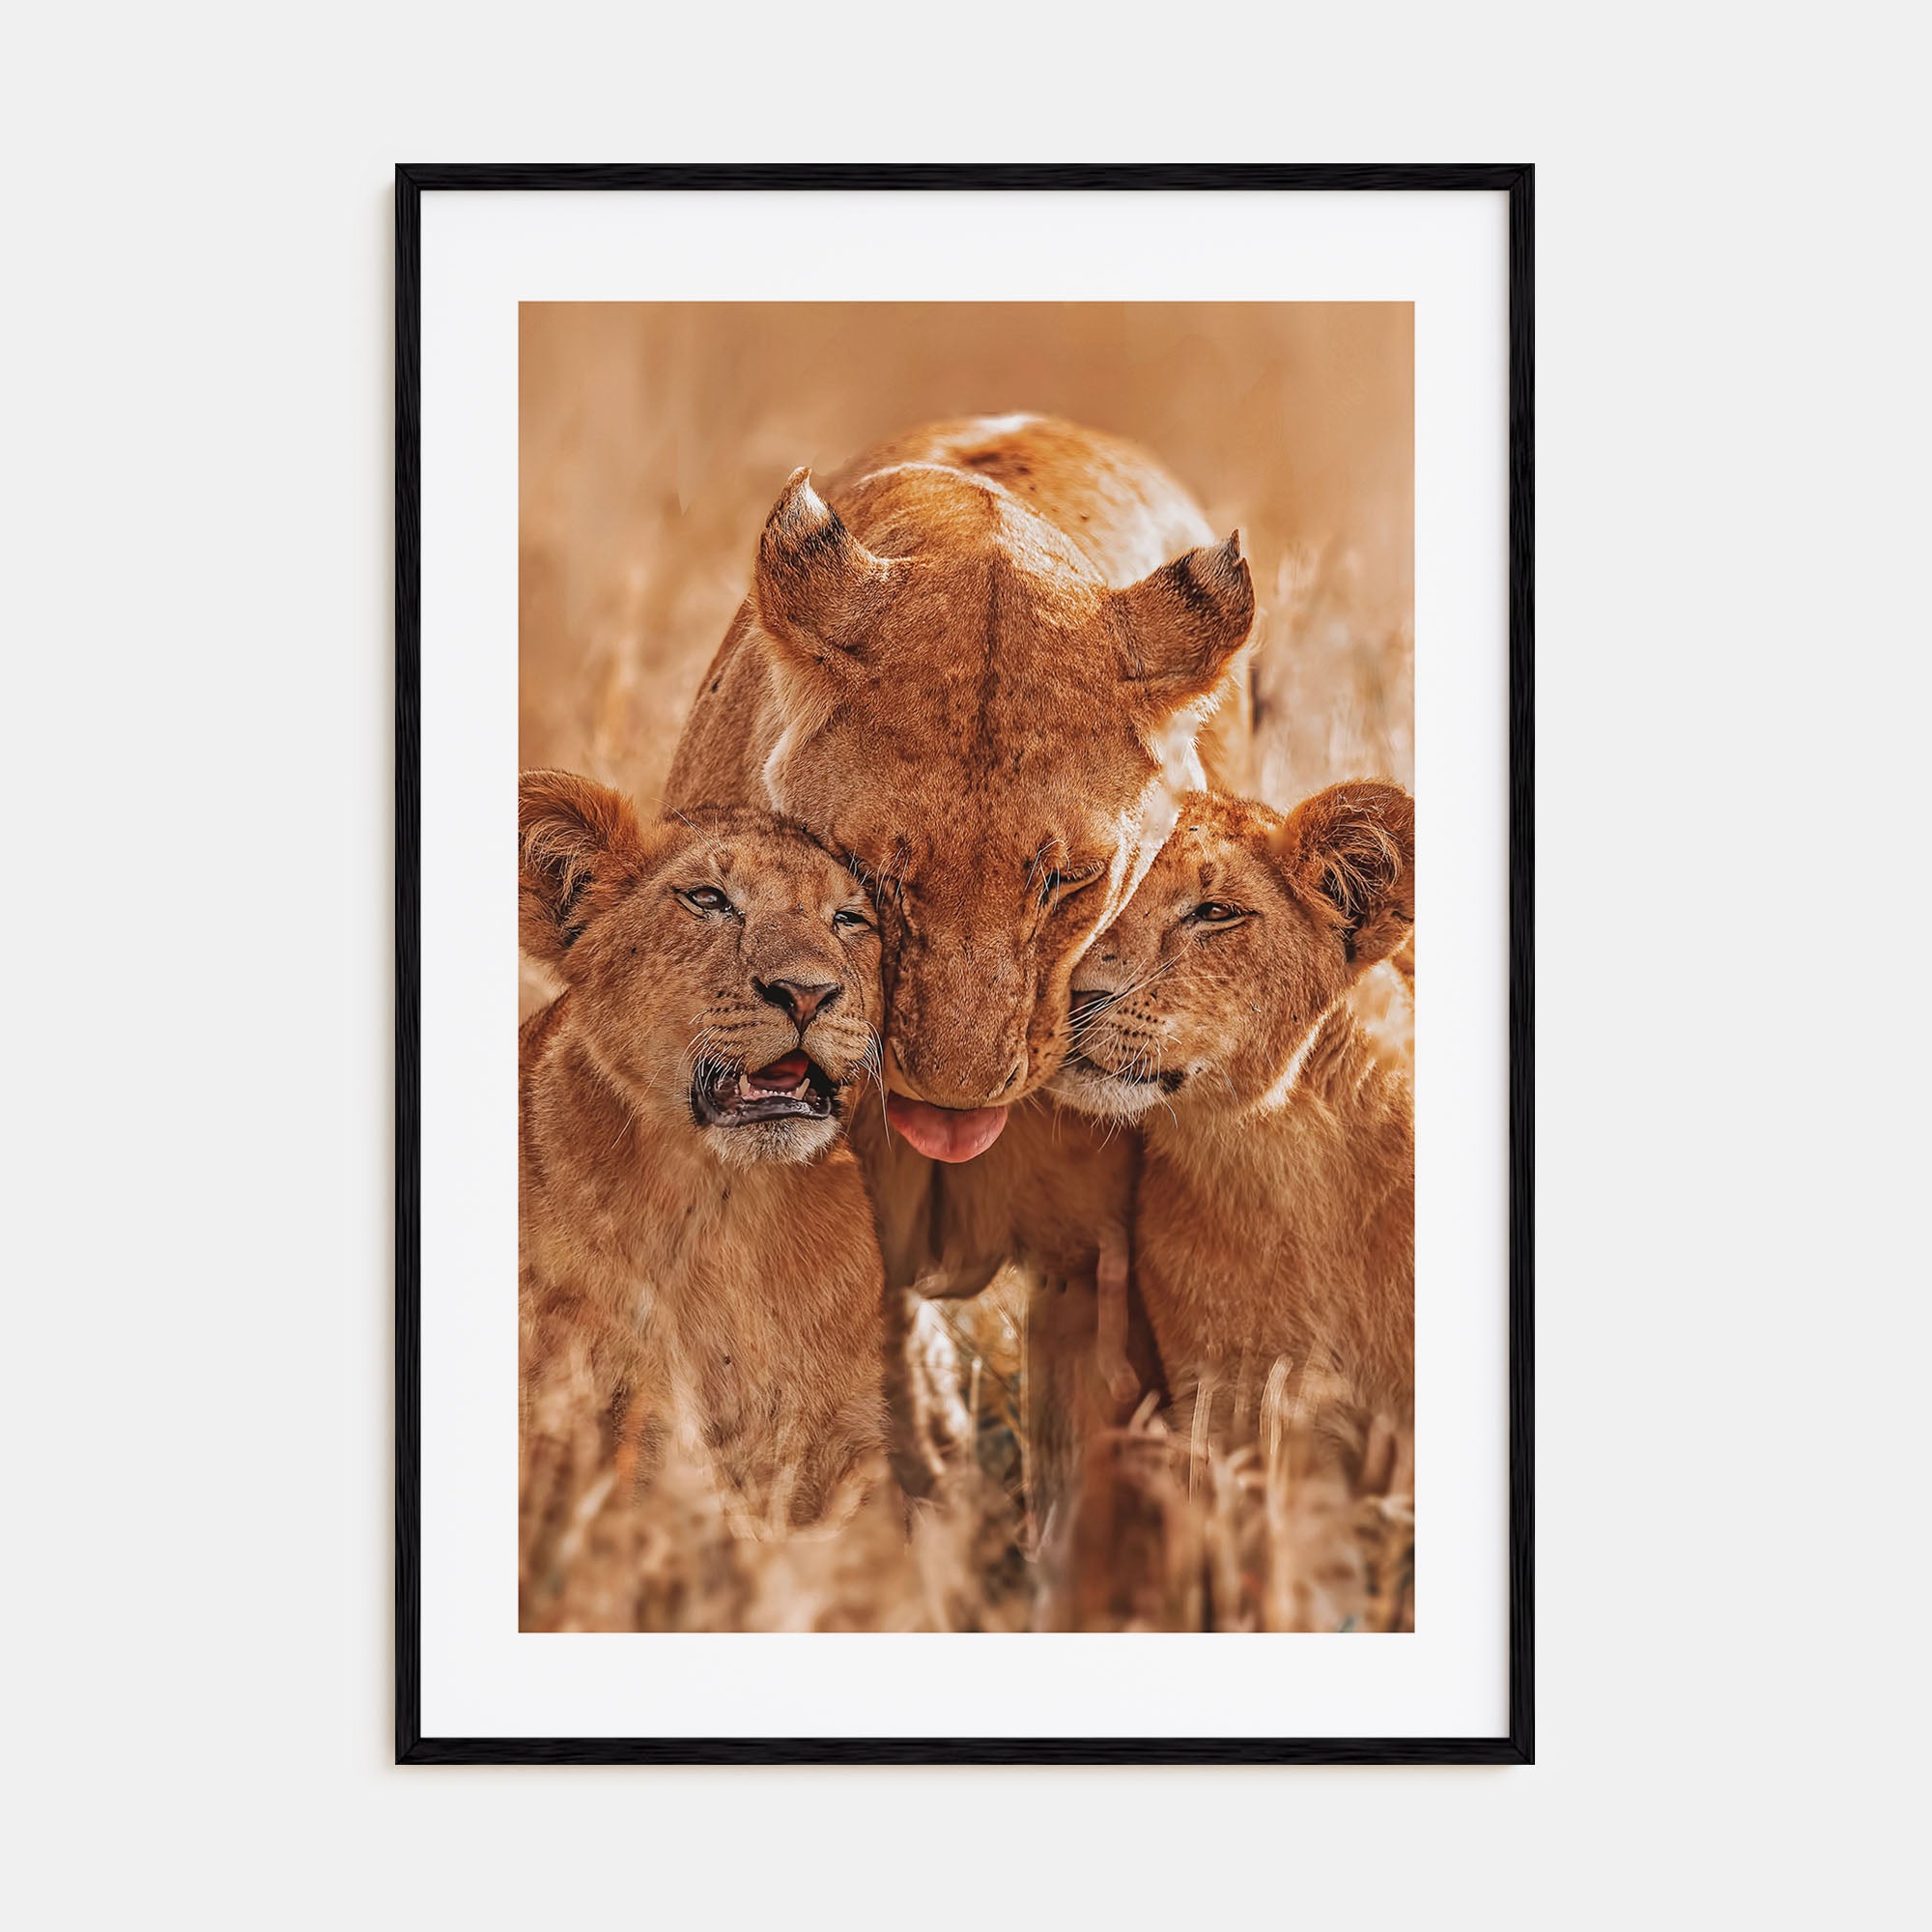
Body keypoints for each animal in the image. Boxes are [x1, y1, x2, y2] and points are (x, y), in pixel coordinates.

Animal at [515, 769, 890, 1572]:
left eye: (849, 918)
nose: (808, 992)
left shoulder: (863, 1432)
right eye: (709, 899)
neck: (734, 1212)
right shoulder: (612, 1409)